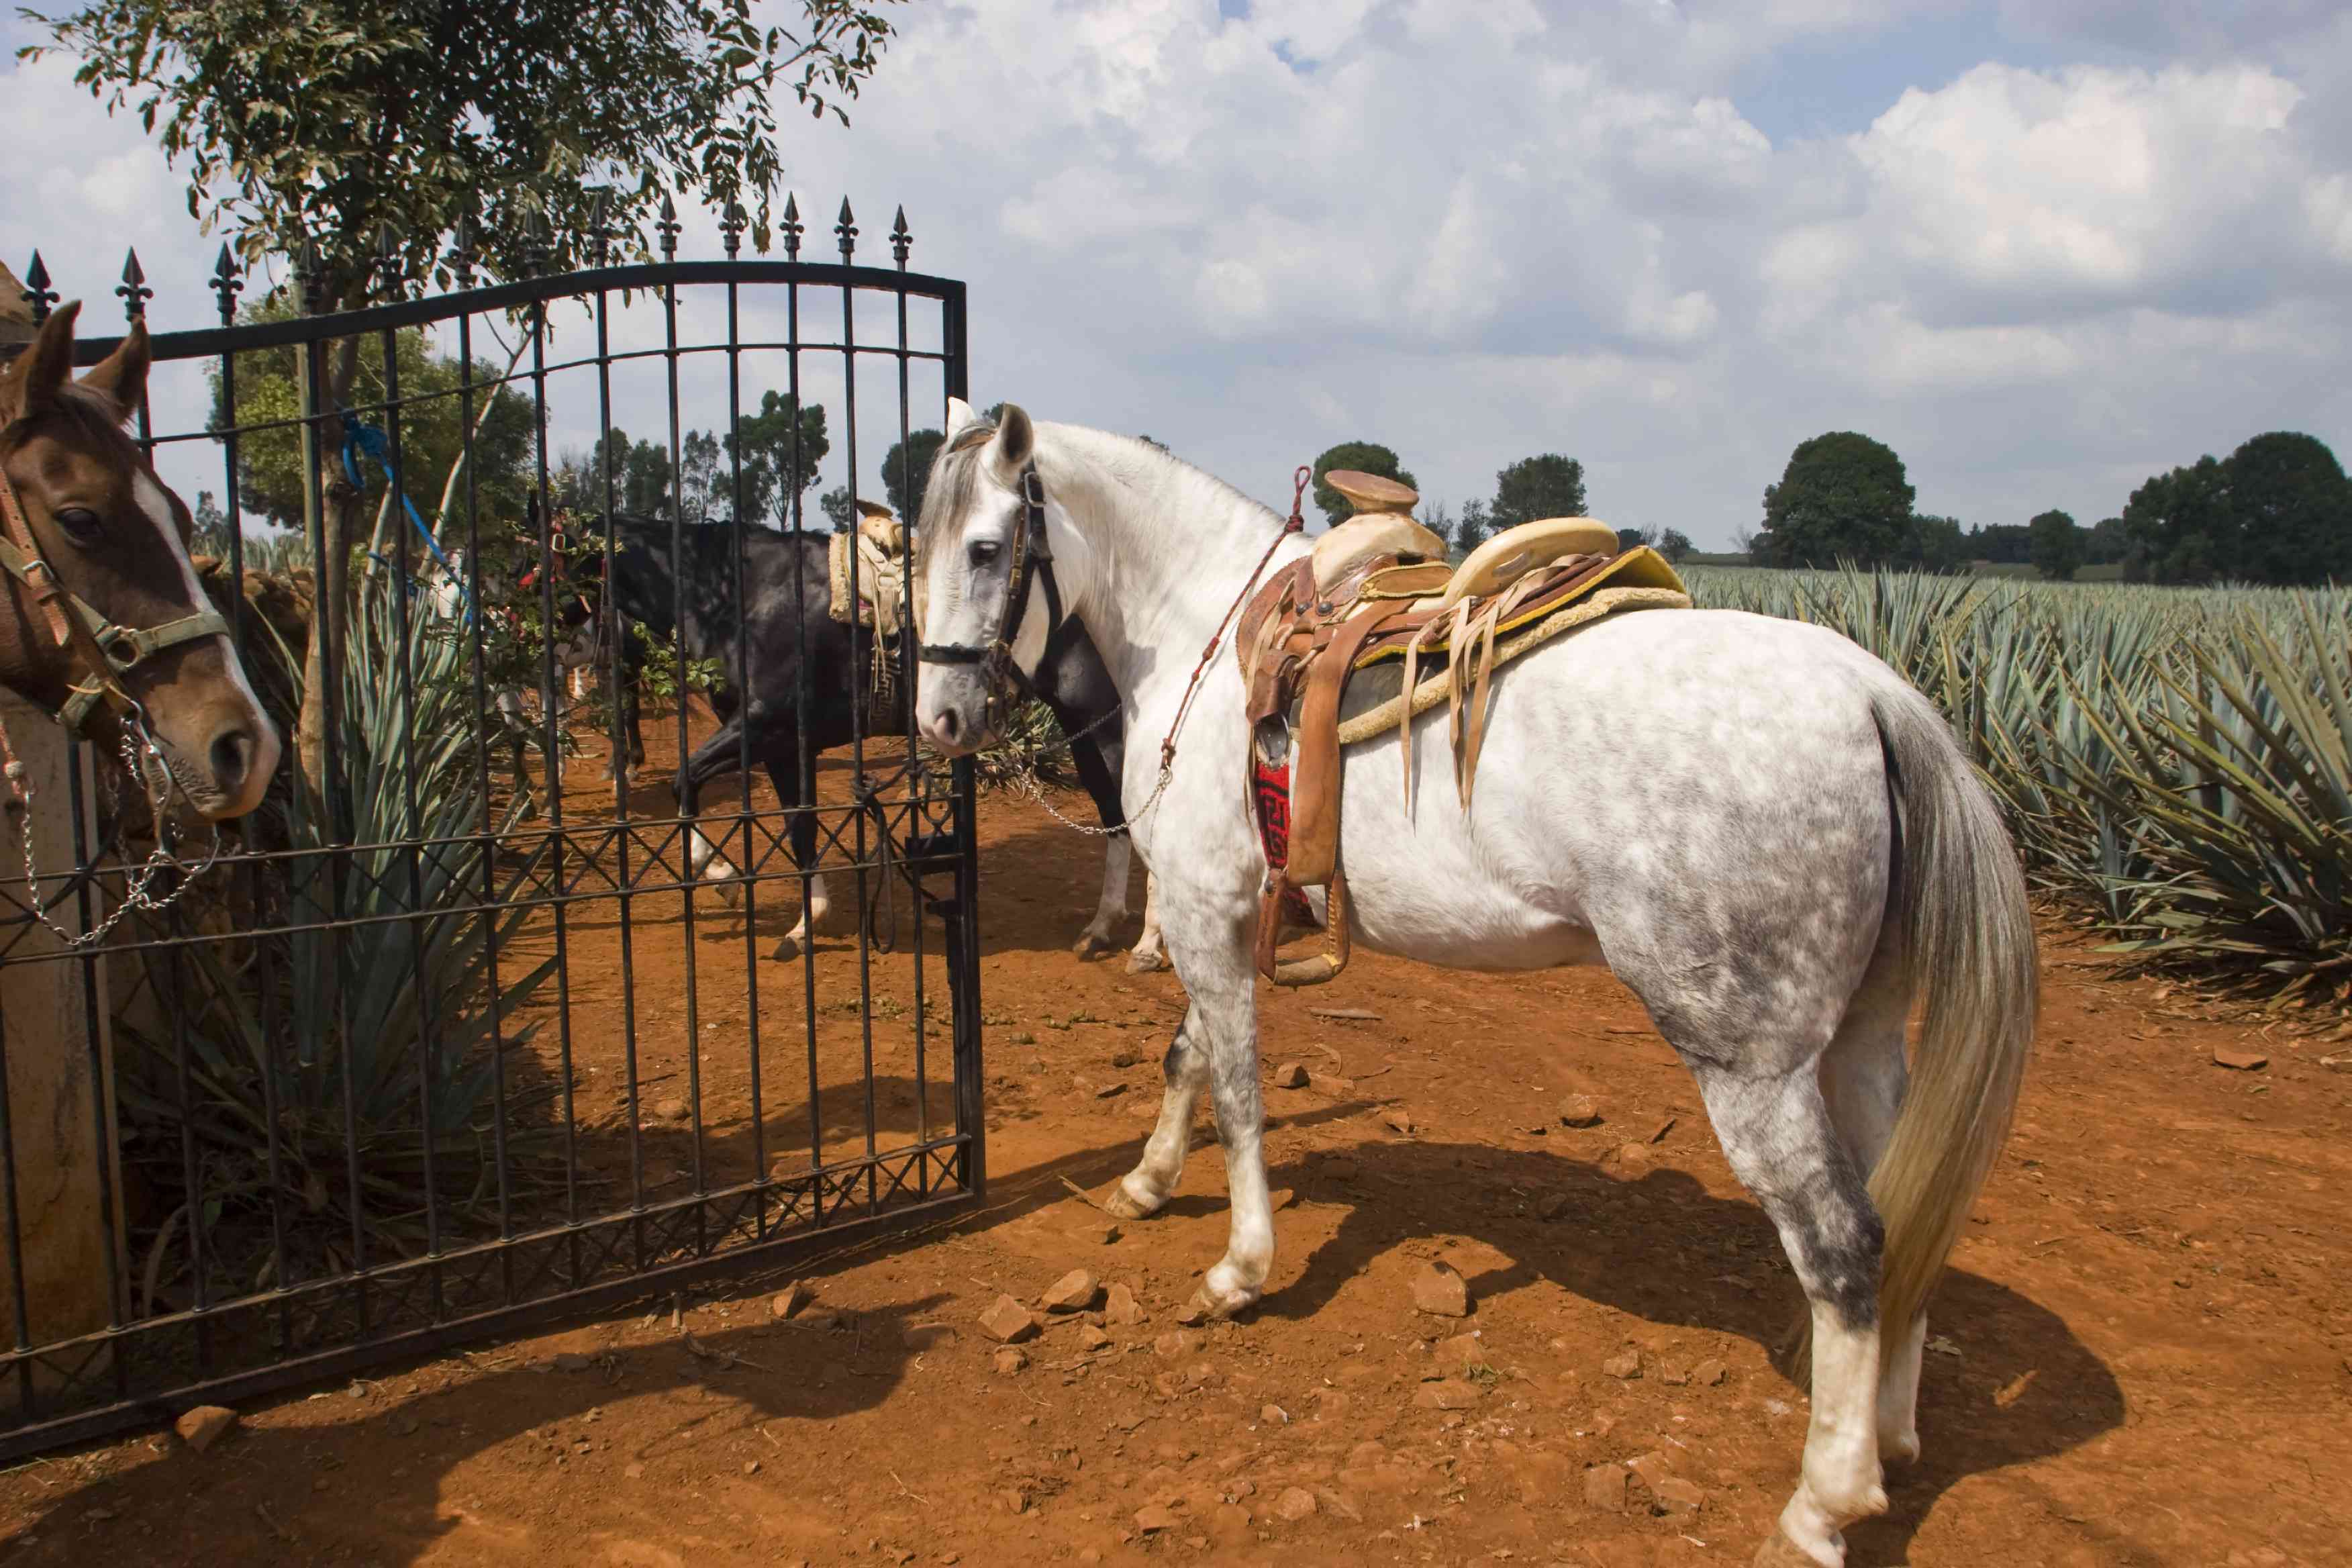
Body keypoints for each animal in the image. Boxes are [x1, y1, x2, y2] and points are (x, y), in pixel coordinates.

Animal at [917, 404, 2041, 1568]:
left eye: (988, 549)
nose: (940, 719)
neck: (1203, 629)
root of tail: (1877, 696)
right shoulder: (1210, 907)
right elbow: (1189, 1056)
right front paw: (1144, 1183)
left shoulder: (1199, 911)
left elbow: (1237, 1091)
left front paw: (1239, 1270)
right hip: (1865, 1041)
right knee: (1904, 1212)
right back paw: (1893, 1436)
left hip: (1754, 1067)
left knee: (1843, 1246)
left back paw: (1822, 1506)